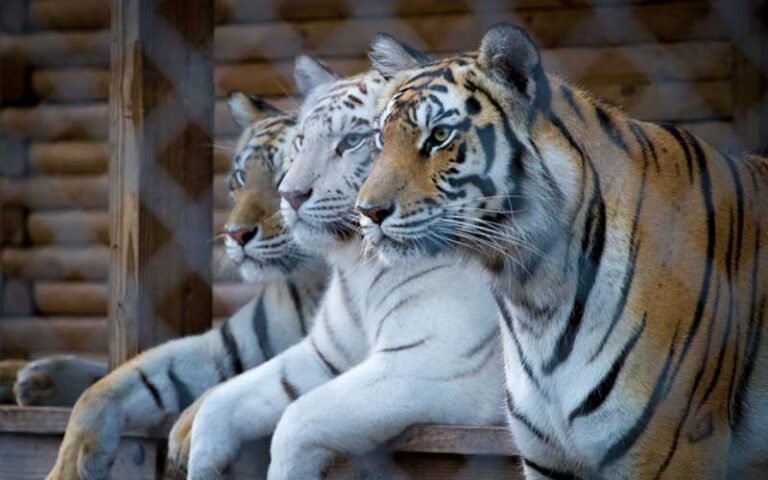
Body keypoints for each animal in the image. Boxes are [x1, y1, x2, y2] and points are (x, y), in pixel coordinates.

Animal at [45, 91, 328, 480]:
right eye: (240, 178)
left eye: (288, 174)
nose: (236, 234)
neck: (314, 278)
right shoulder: (226, 345)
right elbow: (113, 386)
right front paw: (68, 468)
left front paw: (186, 430)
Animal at [172, 54, 504, 480]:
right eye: (301, 142)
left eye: (353, 141)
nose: (289, 195)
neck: (361, 266)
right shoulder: (323, 354)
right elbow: (223, 400)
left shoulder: (432, 364)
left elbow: (297, 419)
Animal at [358, 25, 768, 480]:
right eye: (380, 138)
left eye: (439, 137)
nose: (367, 211)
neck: (533, 293)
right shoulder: (550, 458)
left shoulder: (671, 450)